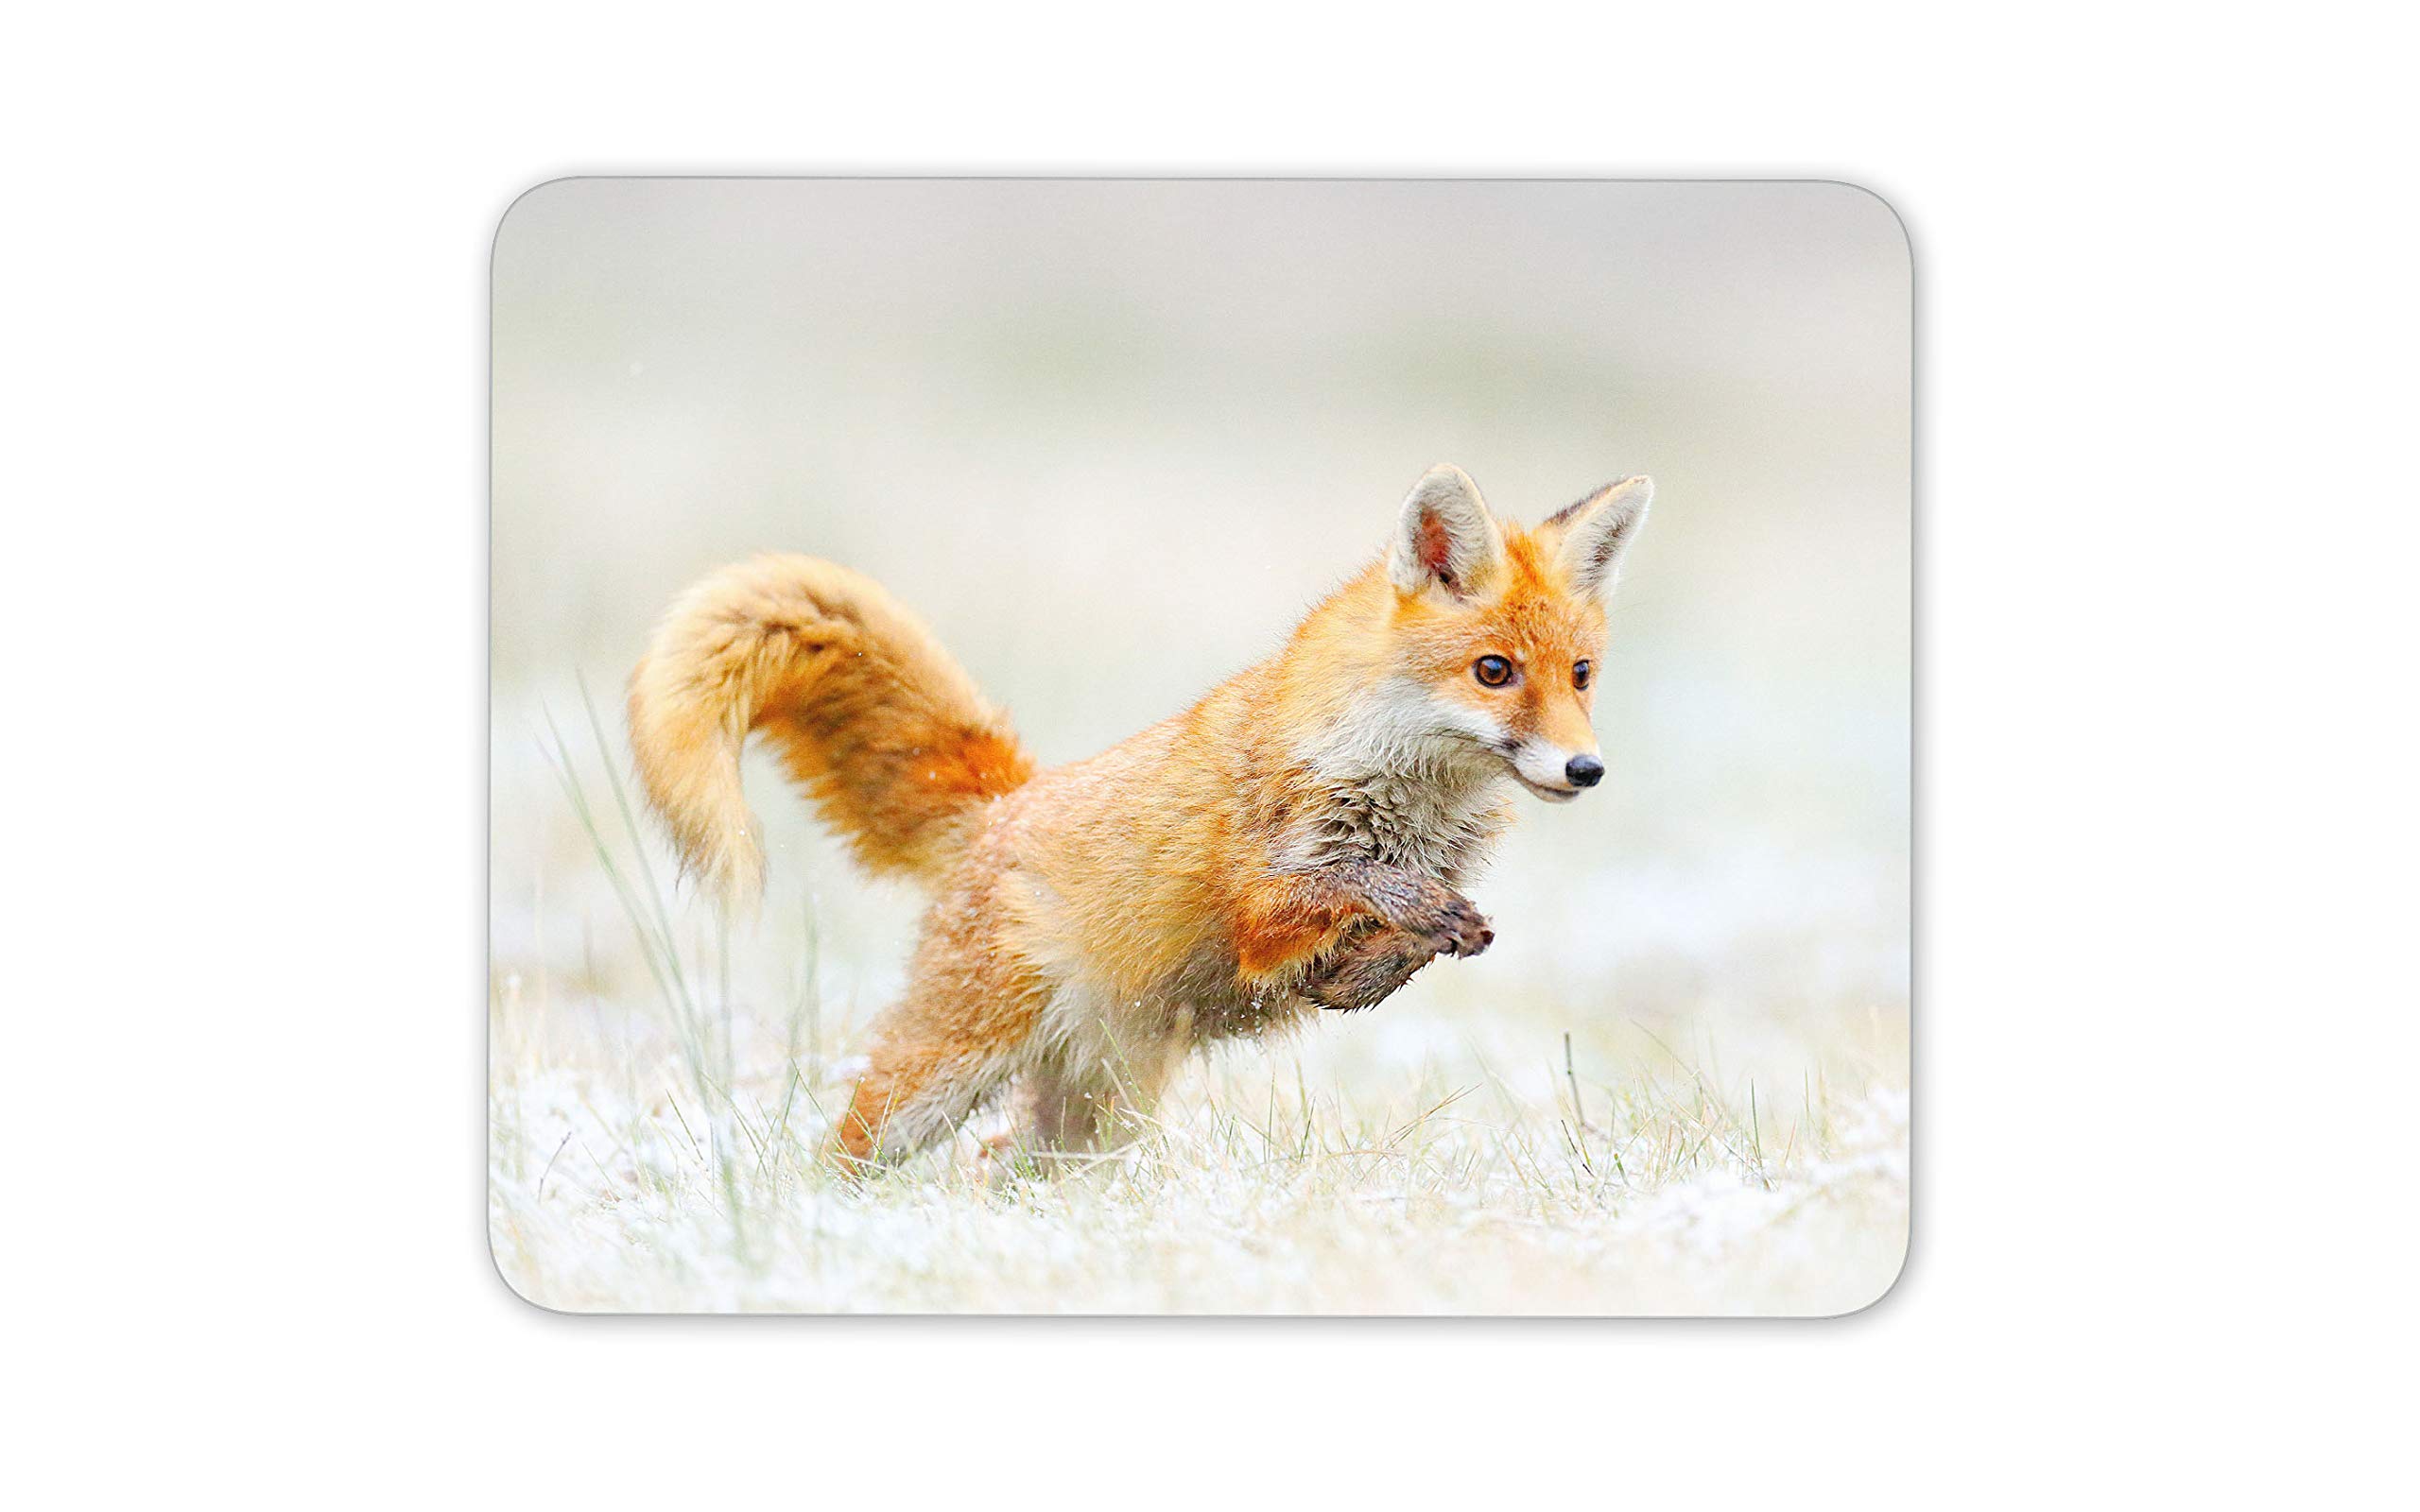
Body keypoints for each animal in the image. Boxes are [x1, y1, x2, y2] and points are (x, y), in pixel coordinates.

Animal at [627, 463, 1652, 1168]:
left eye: (1580, 675)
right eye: (1494, 671)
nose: (1586, 768)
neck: (1405, 796)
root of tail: (1006, 802)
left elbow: (1399, 947)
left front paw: (1388, 962)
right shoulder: (1258, 904)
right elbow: (1346, 884)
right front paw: (1407, 912)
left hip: (1099, 1112)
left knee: (1004, 1169)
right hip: (942, 1076)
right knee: (843, 1157)